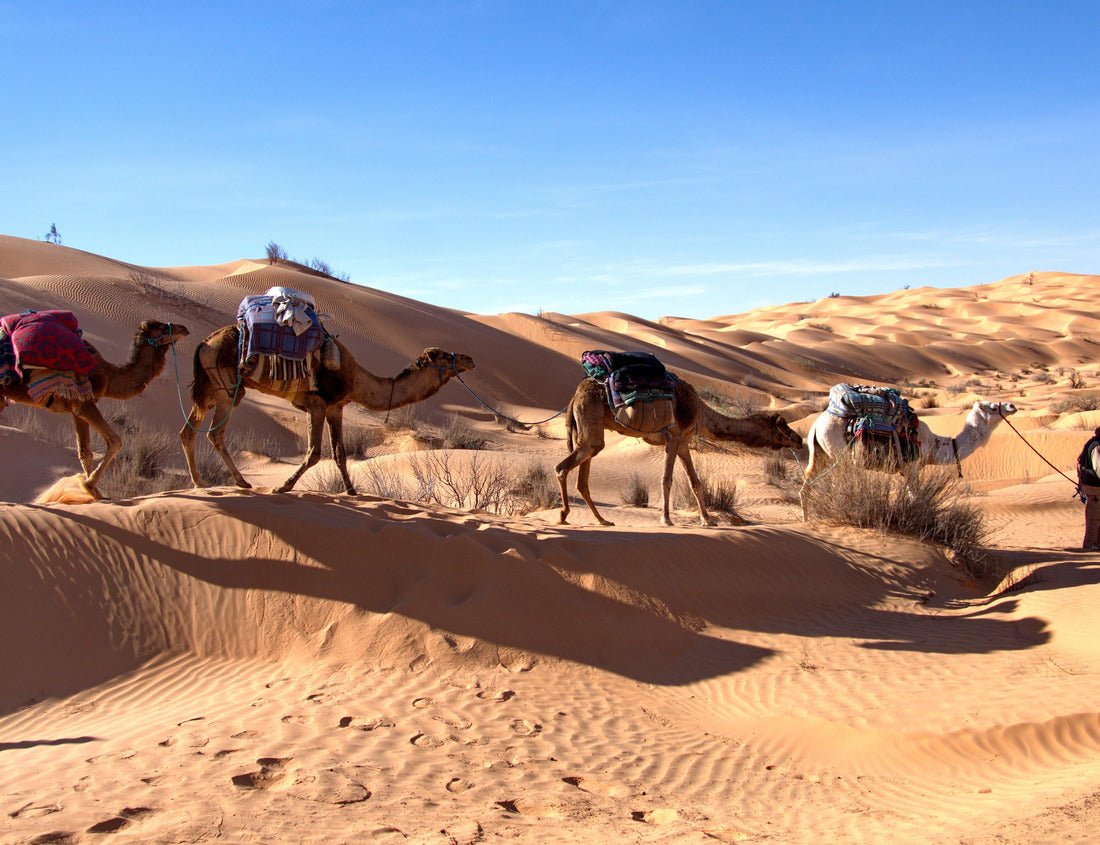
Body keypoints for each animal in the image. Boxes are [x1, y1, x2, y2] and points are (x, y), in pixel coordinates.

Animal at [0, 320, 191, 496]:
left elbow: (85, 452)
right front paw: (89, 485)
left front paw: (91, 492)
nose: (184, 328)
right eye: (162, 327)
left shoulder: (76, 408)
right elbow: (115, 441)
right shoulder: (85, 404)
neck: (108, 375)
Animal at [180, 324, 475, 494]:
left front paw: (351, 491)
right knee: (214, 433)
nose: (468, 358)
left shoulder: (336, 407)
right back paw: (241, 482)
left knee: (188, 431)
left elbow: (339, 454)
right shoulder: (317, 403)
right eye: (443, 355)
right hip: (228, 387)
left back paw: (199, 483)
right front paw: (283, 486)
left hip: (209, 389)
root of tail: (203, 343)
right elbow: (314, 453)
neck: (355, 379)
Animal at [555, 376, 803, 527]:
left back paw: (602, 520)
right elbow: (666, 480)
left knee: (582, 478)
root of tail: (574, 397)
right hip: (591, 422)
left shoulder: (684, 443)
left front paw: (708, 520)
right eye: (783, 425)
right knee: (562, 467)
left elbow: (696, 482)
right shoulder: (673, 438)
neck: (700, 412)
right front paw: (666, 519)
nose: (799, 440)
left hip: (586, 430)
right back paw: (564, 515)